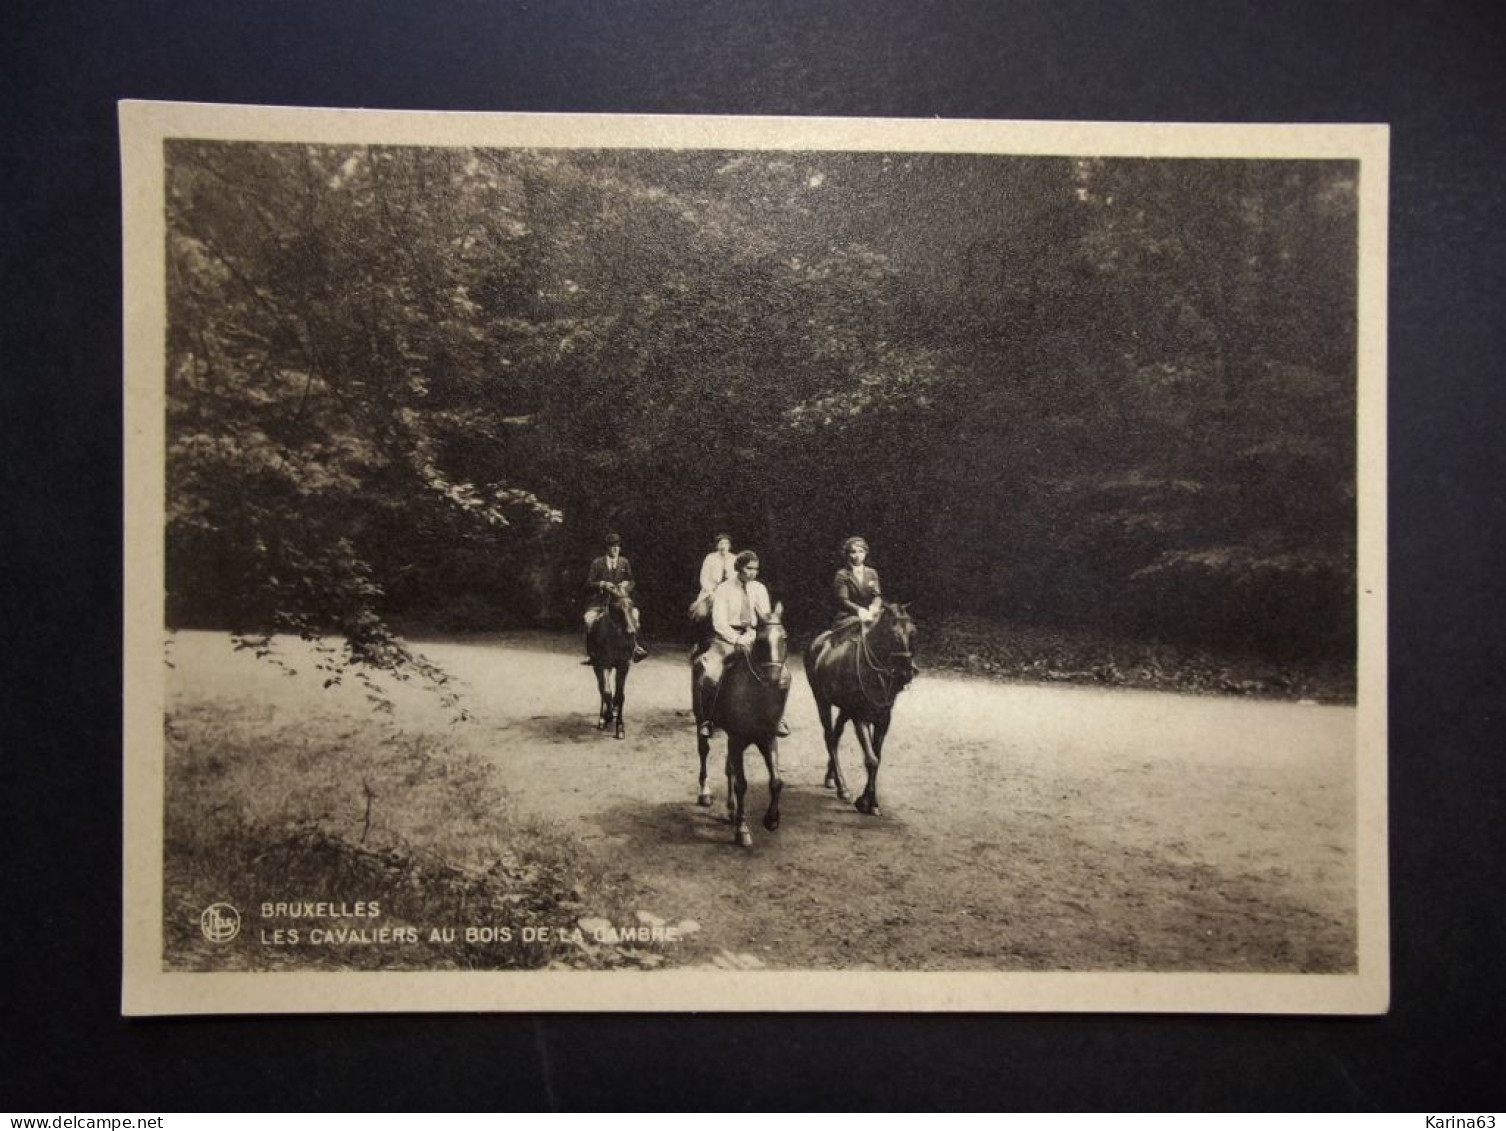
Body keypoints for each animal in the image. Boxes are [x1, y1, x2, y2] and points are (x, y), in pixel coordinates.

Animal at [587, 587, 635, 737]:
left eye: (631, 606)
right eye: (616, 608)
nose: (630, 632)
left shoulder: (623, 666)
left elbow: (620, 696)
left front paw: (620, 727)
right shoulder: (603, 665)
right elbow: (607, 692)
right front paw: (607, 716)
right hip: (596, 667)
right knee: (602, 690)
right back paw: (602, 719)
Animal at [689, 605, 795, 843]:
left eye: (784, 638)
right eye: (761, 641)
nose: (775, 680)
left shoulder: (767, 740)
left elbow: (776, 782)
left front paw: (771, 820)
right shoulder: (737, 740)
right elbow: (741, 784)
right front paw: (742, 830)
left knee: (729, 767)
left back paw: (731, 810)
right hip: (702, 722)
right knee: (703, 751)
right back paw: (705, 793)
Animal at [807, 605, 909, 819]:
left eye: (913, 633)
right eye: (894, 635)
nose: (907, 673)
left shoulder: (883, 719)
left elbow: (877, 757)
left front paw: (871, 802)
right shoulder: (860, 717)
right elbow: (871, 759)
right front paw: (865, 802)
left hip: (845, 709)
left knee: (836, 735)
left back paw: (831, 778)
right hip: (822, 700)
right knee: (829, 737)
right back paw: (842, 787)